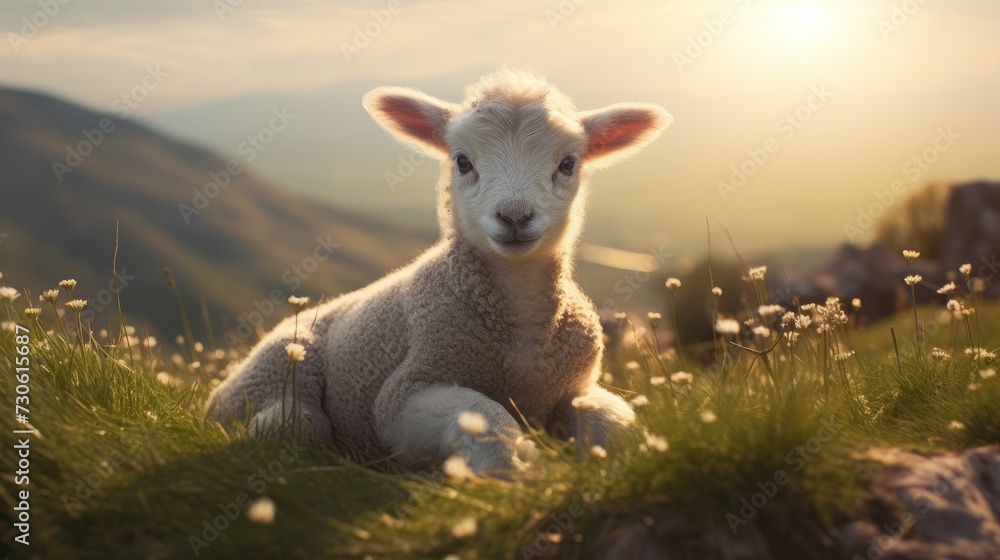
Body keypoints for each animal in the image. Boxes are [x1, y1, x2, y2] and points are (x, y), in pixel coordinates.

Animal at [207, 68, 672, 477]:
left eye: (569, 163)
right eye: (462, 162)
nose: (515, 217)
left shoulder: (576, 387)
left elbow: (616, 422)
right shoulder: (403, 393)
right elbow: (484, 415)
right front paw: (515, 475)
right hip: (283, 367)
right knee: (296, 422)